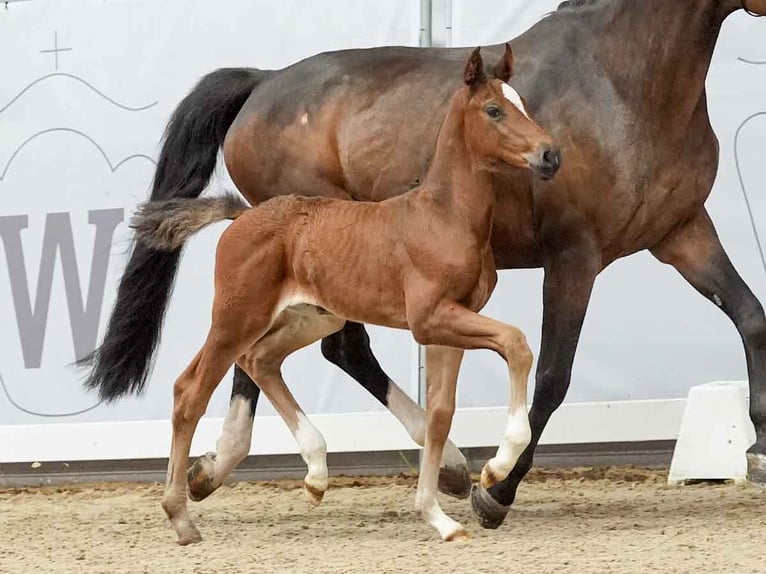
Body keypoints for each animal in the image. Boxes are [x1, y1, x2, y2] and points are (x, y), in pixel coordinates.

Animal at [132, 47, 560, 548]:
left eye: (523, 104)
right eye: (494, 110)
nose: (550, 154)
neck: (444, 216)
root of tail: (243, 214)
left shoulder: (451, 324)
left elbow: (440, 415)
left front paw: (440, 517)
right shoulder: (430, 318)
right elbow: (516, 343)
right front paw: (496, 466)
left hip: (312, 316)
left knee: (260, 360)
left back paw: (316, 472)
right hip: (237, 317)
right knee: (191, 390)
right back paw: (181, 516)